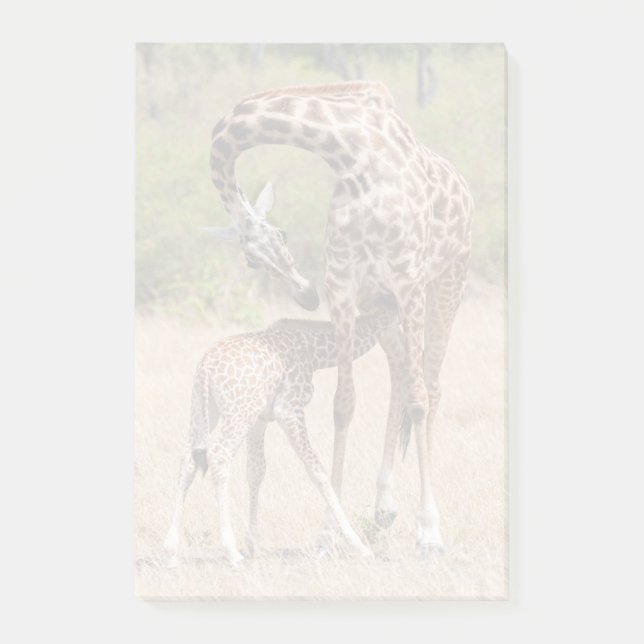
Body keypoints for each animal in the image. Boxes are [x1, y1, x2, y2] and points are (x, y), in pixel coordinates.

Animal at [163, 300, 397, 566]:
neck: (313, 352)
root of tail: (206, 368)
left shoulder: (260, 419)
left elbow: (256, 471)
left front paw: (253, 545)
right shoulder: (289, 409)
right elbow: (317, 470)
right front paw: (358, 545)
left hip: (204, 409)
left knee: (187, 458)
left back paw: (171, 550)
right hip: (237, 412)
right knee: (219, 456)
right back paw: (231, 551)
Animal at [205, 81, 473, 554]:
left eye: (281, 235)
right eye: (252, 261)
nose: (306, 296)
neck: (353, 155)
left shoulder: (409, 280)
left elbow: (419, 400)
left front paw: (429, 531)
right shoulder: (346, 287)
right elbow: (343, 404)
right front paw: (328, 532)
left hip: (447, 282)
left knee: (430, 386)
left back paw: (421, 518)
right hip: (379, 304)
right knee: (400, 374)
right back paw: (383, 507)